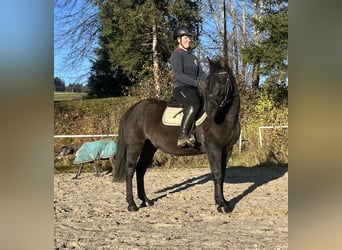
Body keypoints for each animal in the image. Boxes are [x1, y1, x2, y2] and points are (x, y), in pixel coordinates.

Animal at [112, 58, 240, 213]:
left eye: (222, 81)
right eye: (208, 81)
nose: (210, 109)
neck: (225, 118)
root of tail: (132, 110)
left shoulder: (227, 149)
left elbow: (222, 175)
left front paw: (222, 202)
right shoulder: (214, 149)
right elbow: (217, 174)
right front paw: (222, 205)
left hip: (149, 148)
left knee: (140, 170)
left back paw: (146, 201)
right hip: (134, 146)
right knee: (130, 171)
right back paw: (132, 204)